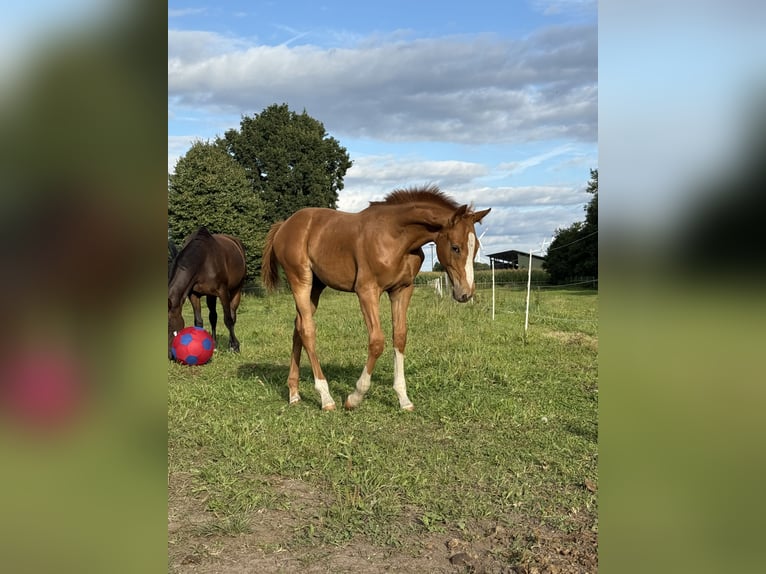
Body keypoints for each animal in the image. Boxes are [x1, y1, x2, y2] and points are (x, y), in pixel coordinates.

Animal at [168, 227, 247, 359]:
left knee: (232, 315)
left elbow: (228, 320)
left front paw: (235, 347)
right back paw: (214, 344)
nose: (170, 355)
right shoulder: (193, 295)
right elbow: (199, 321)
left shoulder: (222, 292)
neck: (202, 260)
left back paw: (231, 344)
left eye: (169, 325)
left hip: (236, 290)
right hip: (210, 295)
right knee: (213, 317)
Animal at [261, 184, 490, 411]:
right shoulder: (367, 291)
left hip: (316, 286)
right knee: (308, 330)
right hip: (300, 281)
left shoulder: (401, 290)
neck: (396, 236)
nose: (465, 293)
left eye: (476, 248)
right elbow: (377, 341)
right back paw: (326, 398)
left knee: (298, 326)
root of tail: (284, 225)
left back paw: (294, 393)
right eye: (455, 247)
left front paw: (403, 398)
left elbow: (400, 336)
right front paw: (355, 397)